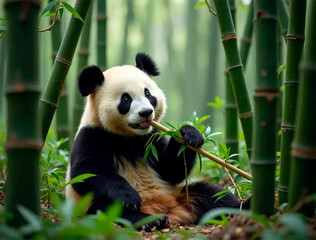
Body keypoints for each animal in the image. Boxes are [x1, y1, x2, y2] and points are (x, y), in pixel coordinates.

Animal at [66, 53, 244, 231]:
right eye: (125, 99)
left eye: (148, 94)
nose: (146, 112)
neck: (129, 137)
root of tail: (170, 211)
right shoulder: (92, 135)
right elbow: (85, 172)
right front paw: (129, 196)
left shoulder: (152, 137)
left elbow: (171, 170)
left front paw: (189, 134)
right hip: (91, 205)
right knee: (106, 209)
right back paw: (150, 220)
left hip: (179, 194)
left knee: (210, 193)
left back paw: (242, 207)